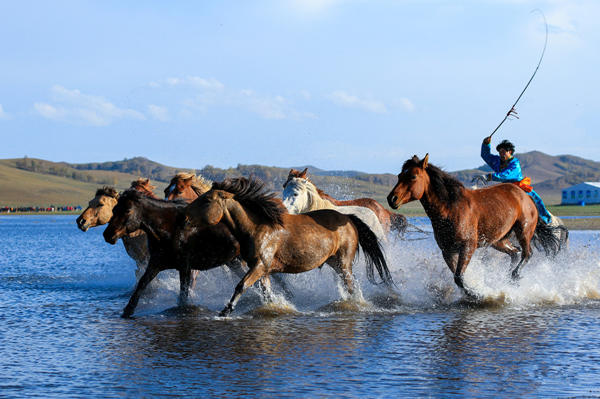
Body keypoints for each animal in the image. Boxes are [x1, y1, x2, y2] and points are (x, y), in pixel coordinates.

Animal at [103, 191, 251, 318]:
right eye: (114, 209)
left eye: (127, 210)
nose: (107, 235)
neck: (171, 229)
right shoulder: (155, 263)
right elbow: (142, 284)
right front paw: (128, 310)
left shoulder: (185, 266)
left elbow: (183, 293)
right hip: (233, 261)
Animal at [186, 178, 394, 318]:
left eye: (206, 200)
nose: (185, 218)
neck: (257, 227)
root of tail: (349, 218)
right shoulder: (263, 270)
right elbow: (266, 293)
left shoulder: (259, 266)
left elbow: (241, 285)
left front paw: (226, 311)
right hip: (334, 263)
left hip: (344, 264)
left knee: (351, 287)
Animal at [386, 155, 564, 298]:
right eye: (400, 175)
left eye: (413, 176)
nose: (391, 199)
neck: (451, 209)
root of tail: (525, 195)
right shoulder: (448, 251)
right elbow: (458, 277)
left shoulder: (467, 246)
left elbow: (459, 277)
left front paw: (476, 294)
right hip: (498, 240)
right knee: (515, 253)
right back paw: (508, 279)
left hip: (523, 231)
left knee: (527, 253)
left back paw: (514, 276)